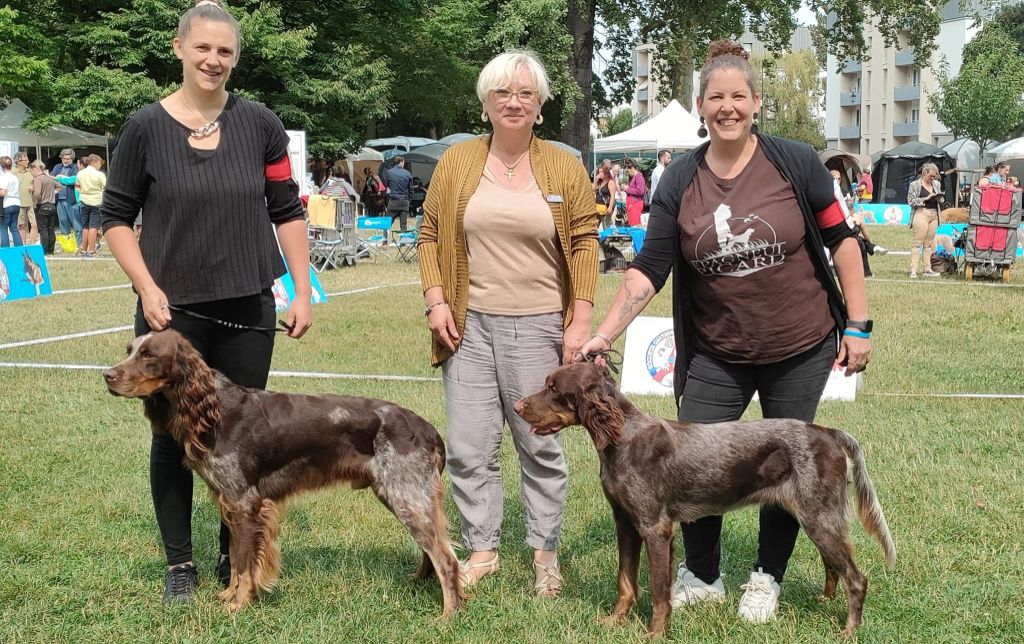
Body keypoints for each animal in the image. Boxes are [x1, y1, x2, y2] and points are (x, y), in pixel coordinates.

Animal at [101, 329, 462, 614]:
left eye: (148, 355)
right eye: (129, 350)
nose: (108, 375)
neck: (214, 412)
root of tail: (429, 430)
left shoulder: (245, 504)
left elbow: (245, 563)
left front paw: (238, 604)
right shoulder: (232, 503)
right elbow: (237, 560)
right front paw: (229, 596)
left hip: (405, 496)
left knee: (447, 559)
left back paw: (448, 615)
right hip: (405, 497)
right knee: (435, 550)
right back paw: (419, 582)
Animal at [516, 362, 892, 638]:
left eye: (554, 389)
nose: (518, 406)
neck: (624, 439)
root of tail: (827, 432)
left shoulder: (655, 527)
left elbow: (658, 591)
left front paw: (655, 633)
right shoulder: (624, 520)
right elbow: (625, 580)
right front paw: (616, 620)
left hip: (819, 516)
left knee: (857, 578)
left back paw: (848, 631)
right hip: (815, 514)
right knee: (834, 564)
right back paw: (825, 599)